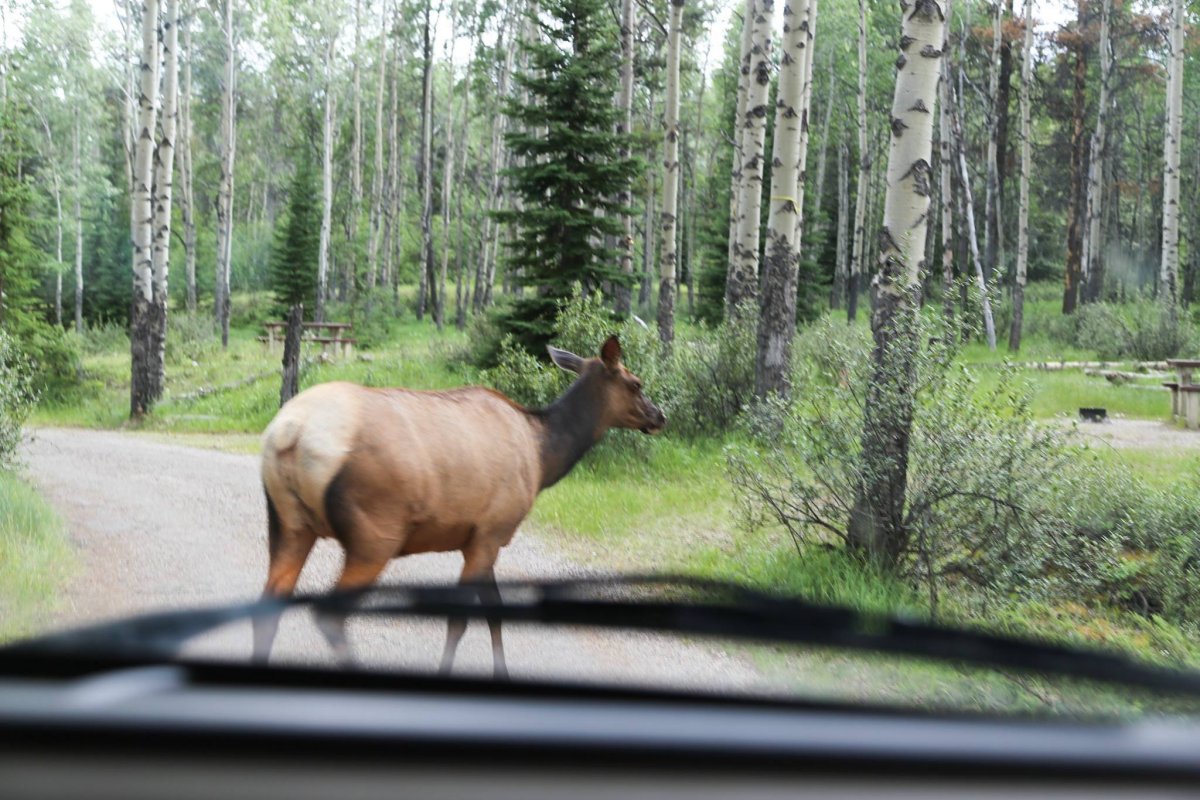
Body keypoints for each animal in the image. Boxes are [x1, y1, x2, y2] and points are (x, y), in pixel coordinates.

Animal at [253, 335, 665, 678]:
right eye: (636, 383)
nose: (659, 416)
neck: (542, 456)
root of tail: (290, 433)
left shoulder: (481, 538)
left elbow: (494, 614)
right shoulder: (491, 532)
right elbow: (460, 620)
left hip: (287, 524)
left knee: (266, 609)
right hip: (374, 533)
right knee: (330, 615)